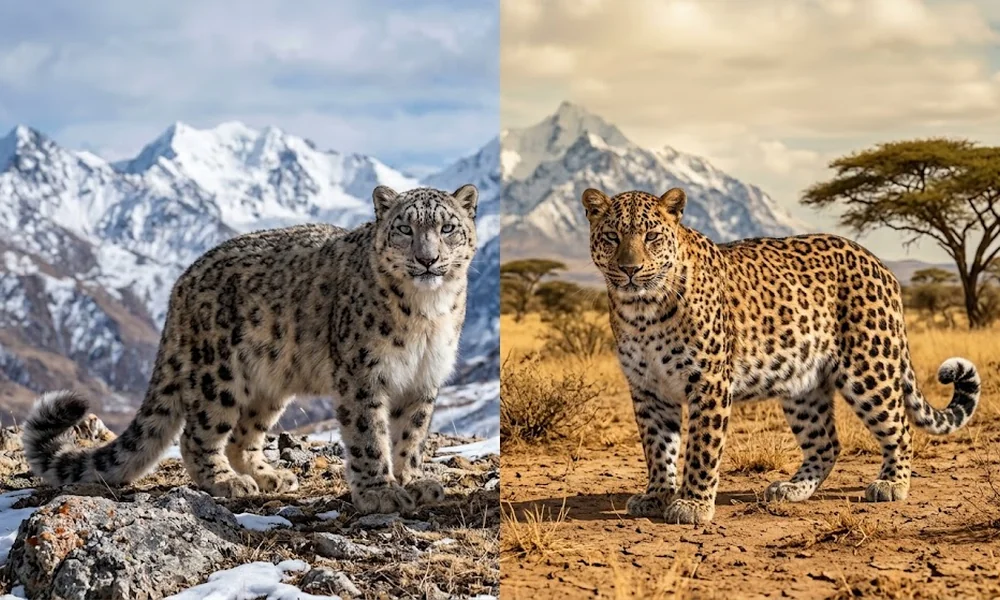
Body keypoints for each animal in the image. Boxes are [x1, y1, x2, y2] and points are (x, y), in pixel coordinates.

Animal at [23, 183, 479, 515]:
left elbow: (411, 436)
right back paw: (227, 481)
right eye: (404, 228)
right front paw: (378, 492)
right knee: (198, 435)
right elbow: (369, 436)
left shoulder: (423, 379)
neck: (426, 315)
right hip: (218, 374)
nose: (427, 259)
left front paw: (413, 481)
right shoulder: (363, 375)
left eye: (447, 228)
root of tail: (181, 284)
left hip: (269, 385)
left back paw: (269, 476)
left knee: (242, 436)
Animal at [581, 186, 981, 525]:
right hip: (803, 385)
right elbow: (657, 446)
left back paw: (892, 484)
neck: (642, 310)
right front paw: (657, 495)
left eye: (651, 237)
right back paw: (792, 489)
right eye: (612, 236)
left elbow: (701, 447)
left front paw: (692, 504)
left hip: (870, 367)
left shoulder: (707, 381)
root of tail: (880, 264)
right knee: (826, 443)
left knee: (899, 426)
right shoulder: (647, 389)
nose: (629, 269)